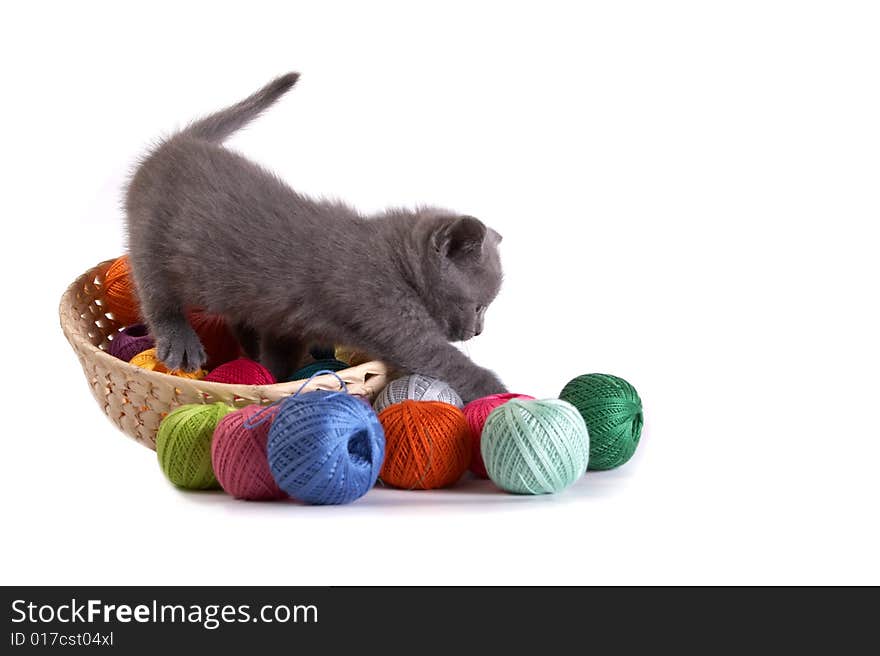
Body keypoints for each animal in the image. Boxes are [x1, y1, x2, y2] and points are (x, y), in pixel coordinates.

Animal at [126, 70, 506, 400]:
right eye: (478, 306)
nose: (478, 331)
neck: (395, 261)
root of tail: (178, 142)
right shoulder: (388, 314)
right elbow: (443, 359)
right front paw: (498, 391)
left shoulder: (285, 326)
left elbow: (279, 354)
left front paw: (273, 377)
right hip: (153, 241)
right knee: (156, 295)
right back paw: (179, 341)